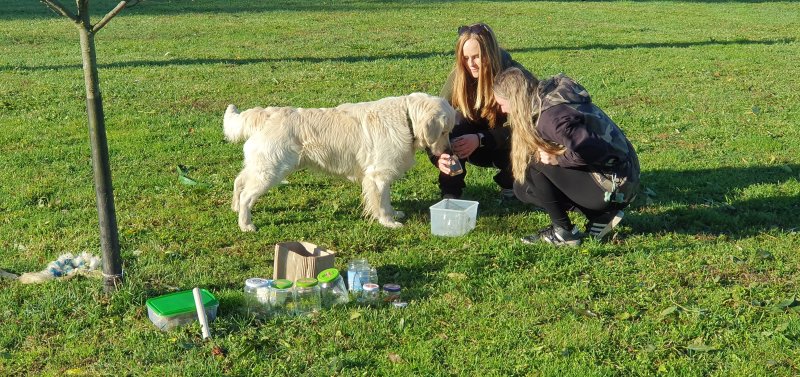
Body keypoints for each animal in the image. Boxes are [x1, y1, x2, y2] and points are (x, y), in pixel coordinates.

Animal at [222, 92, 454, 231]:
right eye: (444, 131)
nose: (450, 151)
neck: (406, 119)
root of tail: (267, 113)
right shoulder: (378, 175)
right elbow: (380, 202)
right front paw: (388, 222)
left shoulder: (381, 175)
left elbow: (386, 200)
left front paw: (393, 213)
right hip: (271, 171)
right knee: (246, 196)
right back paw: (246, 224)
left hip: (260, 166)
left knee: (239, 182)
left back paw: (234, 208)